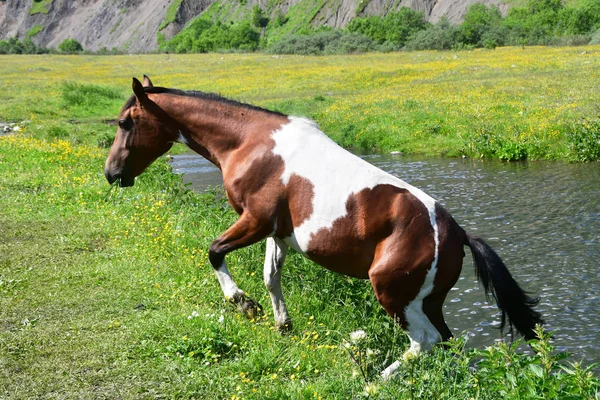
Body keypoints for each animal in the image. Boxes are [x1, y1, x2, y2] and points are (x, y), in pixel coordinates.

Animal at [104, 76, 544, 368]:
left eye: (126, 123)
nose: (110, 174)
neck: (249, 143)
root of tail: (457, 234)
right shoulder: (275, 232)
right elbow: (271, 277)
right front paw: (282, 324)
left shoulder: (254, 221)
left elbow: (214, 252)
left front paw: (243, 304)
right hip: (428, 301)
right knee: (446, 343)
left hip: (394, 296)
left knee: (424, 342)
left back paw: (375, 380)